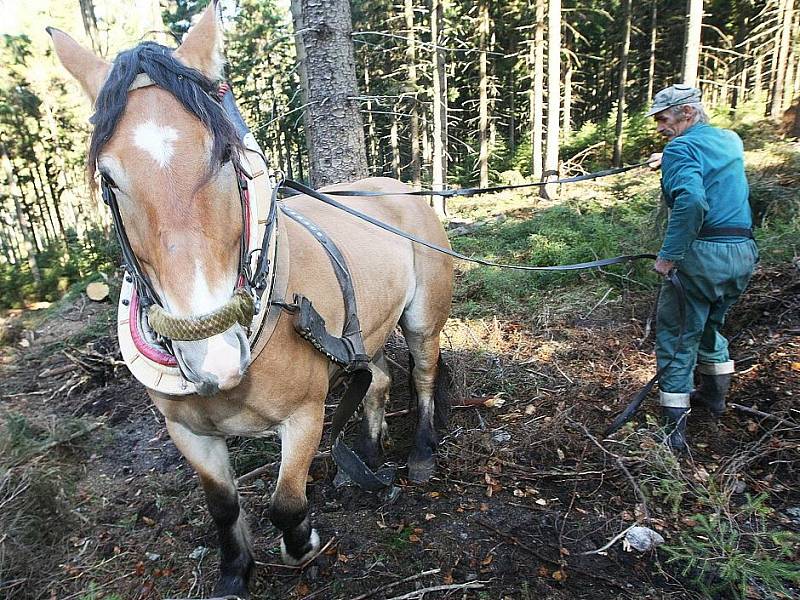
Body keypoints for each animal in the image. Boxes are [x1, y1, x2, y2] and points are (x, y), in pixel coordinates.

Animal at [48, 3, 450, 596]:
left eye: (223, 155)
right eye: (108, 177)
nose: (212, 355)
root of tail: (400, 188)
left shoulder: (304, 417)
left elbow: (285, 502)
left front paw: (303, 543)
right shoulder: (189, 433)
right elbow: (222, 505)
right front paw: (235, 573)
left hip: (422, 320)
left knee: (421, 375)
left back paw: (419, 453)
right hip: (367, 330)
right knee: (376, 380)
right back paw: (366, 456)